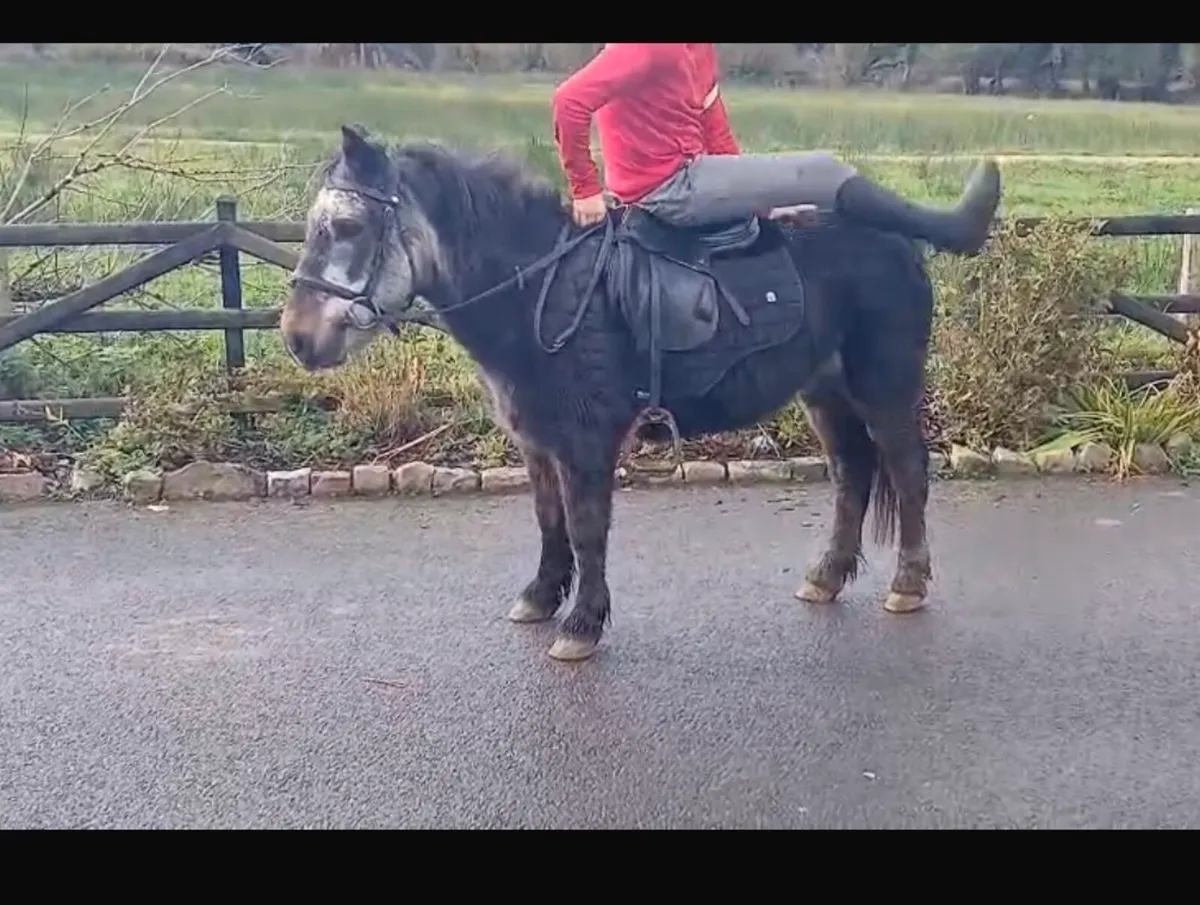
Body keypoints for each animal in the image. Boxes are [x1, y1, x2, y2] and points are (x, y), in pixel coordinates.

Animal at [281, 123, 995, 663]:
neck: (543, 290)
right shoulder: (538, 443)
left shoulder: (587, 441)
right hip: (825, 392)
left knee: (907, 470)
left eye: (347, 228)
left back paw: (907, 583)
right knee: (853, 472)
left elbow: (587, 528)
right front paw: (541, 598)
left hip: (884, 384)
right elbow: (550, 521)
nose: (297, 338)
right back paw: (825, 577)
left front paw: (581, 625)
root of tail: (902, 243)